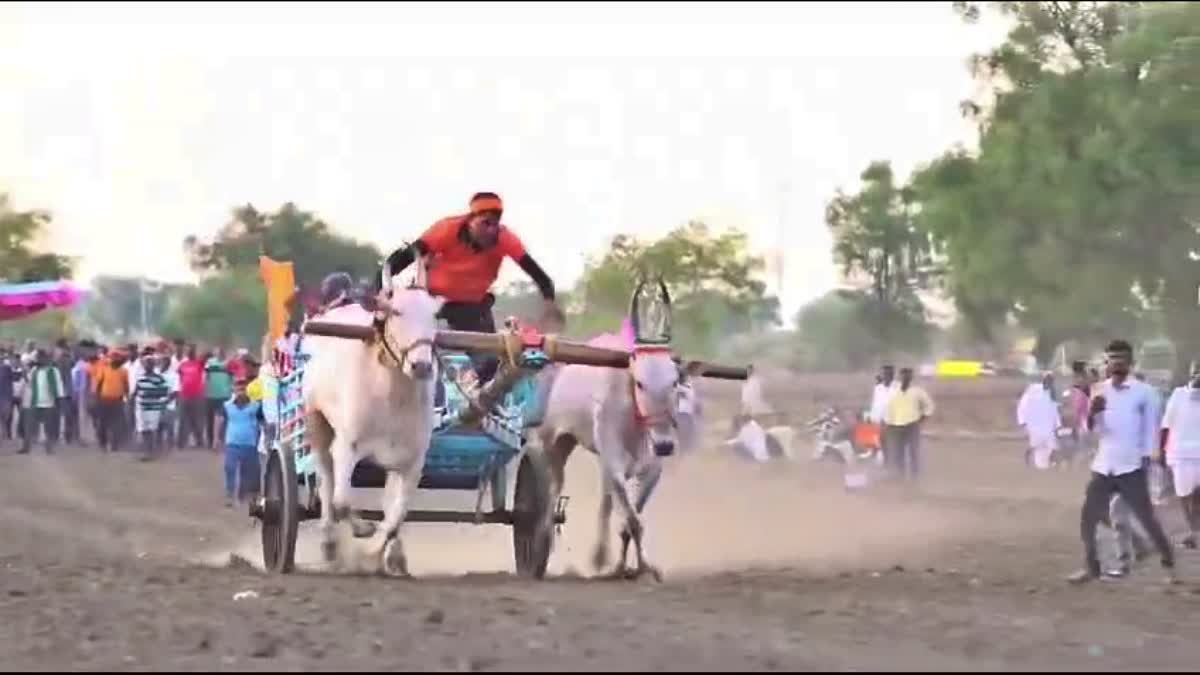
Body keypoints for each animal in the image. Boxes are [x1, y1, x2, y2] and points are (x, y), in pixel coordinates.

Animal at [302, 284, 448, 571]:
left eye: (435, 315)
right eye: (397, 312)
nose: (421, 366)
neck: (392, 395)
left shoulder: (412, 462)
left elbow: (396, 516)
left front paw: (376, 552)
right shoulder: (346, 447)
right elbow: (341, 502)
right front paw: (364, 531)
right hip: (317, 423)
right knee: (326, 483)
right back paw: (329, 543)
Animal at [537, 333, 700, 578]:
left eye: (674, 383)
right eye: (640, 384)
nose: (664, 446)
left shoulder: (651, 470)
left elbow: (630, 521)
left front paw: (631, 566)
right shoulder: (614, 465)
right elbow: (633, 522)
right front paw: (641, 568)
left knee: (605, 504)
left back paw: (600, 554)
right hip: (555, 444)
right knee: (553, 489)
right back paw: (546, 539)